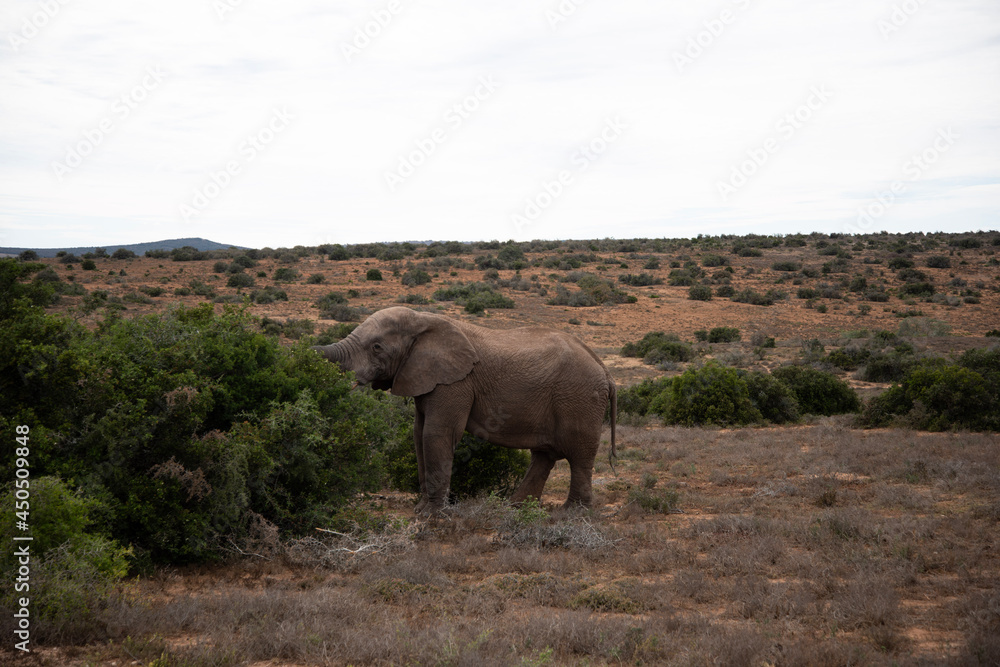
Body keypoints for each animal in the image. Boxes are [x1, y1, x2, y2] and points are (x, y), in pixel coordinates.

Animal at [312, 306, 616, 514]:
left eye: (377, 347)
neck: (423, 320)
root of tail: (603, 368)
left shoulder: (456, 382)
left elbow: (437, 434)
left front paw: (432, 516)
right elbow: (418, 434)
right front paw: (420, 511)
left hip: (578, 398)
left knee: (578, 455)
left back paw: (571, 514)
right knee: (544, 455)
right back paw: (514, 508)